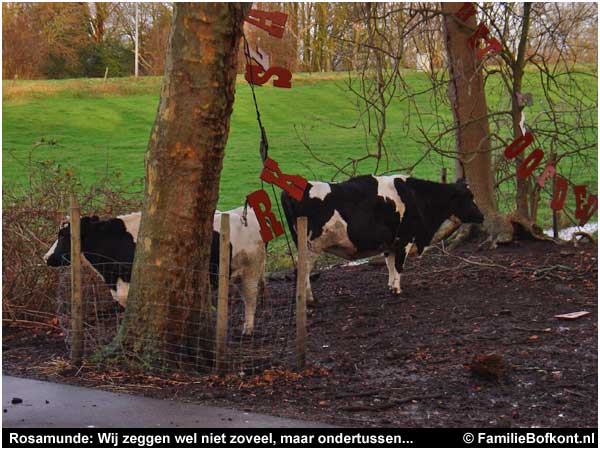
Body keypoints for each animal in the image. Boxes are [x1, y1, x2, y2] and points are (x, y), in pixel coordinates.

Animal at [44, 207, 264, 334]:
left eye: (63, 235)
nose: (46, 257)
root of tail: (244, 215)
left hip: (251, 270)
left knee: (251, 298)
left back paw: (248, 330)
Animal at [282, 174, 482, 300]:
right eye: (469, 196)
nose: (482, 216)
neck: (416, 196)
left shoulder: (389, 243)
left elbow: (390, 265)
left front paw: (391, 286)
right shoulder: (404, 239)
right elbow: (399, 265)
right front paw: (397, 290)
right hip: (311, 247)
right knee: (303, 271)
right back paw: (310, 300)